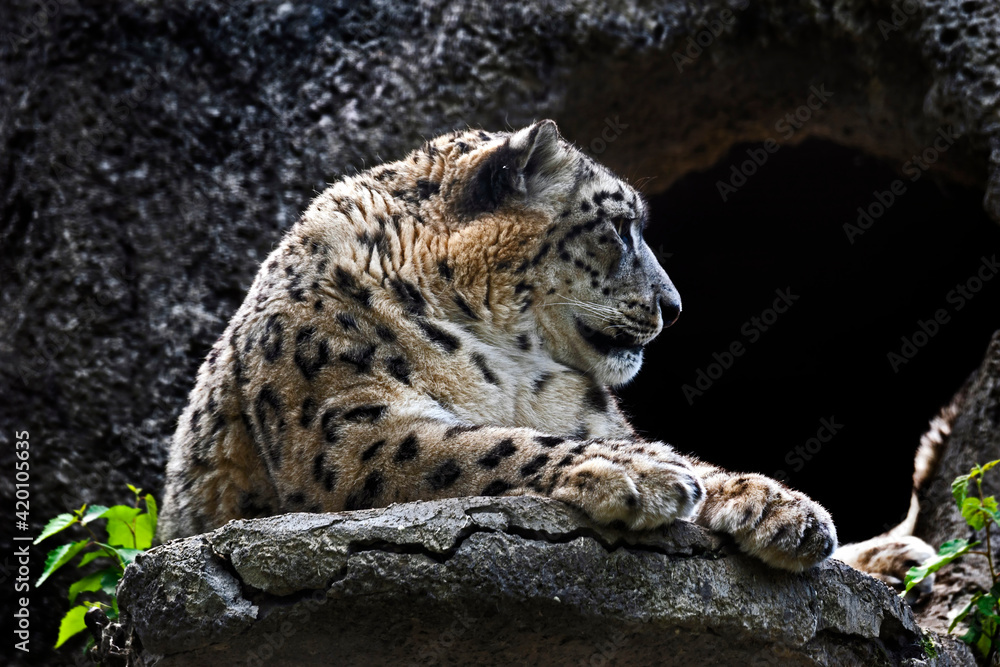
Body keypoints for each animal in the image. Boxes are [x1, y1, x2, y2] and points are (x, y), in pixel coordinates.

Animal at [159, 119, 850, 573]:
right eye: (619, 226)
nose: (675, 307)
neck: (516, 364)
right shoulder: (348, 429)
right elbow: (489, 445)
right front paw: (639, 474)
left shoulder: (595, 416)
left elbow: (678, 457)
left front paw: (782, 507)